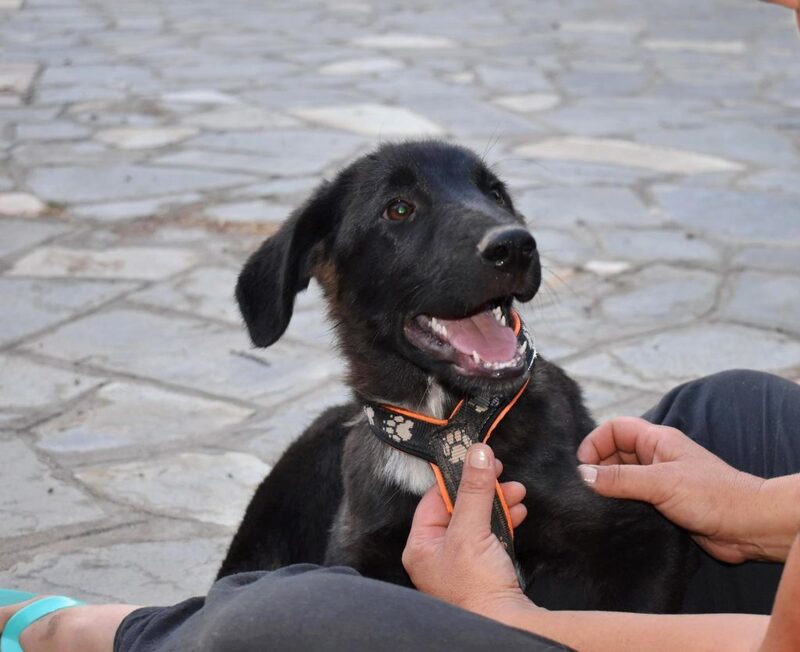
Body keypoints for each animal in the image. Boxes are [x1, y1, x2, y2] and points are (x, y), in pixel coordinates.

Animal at [218, 140, 693, 612]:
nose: (515, 245)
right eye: (398, 209)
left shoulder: (637, 535)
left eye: (496, 194)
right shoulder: (359, 554)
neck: (444, 426)